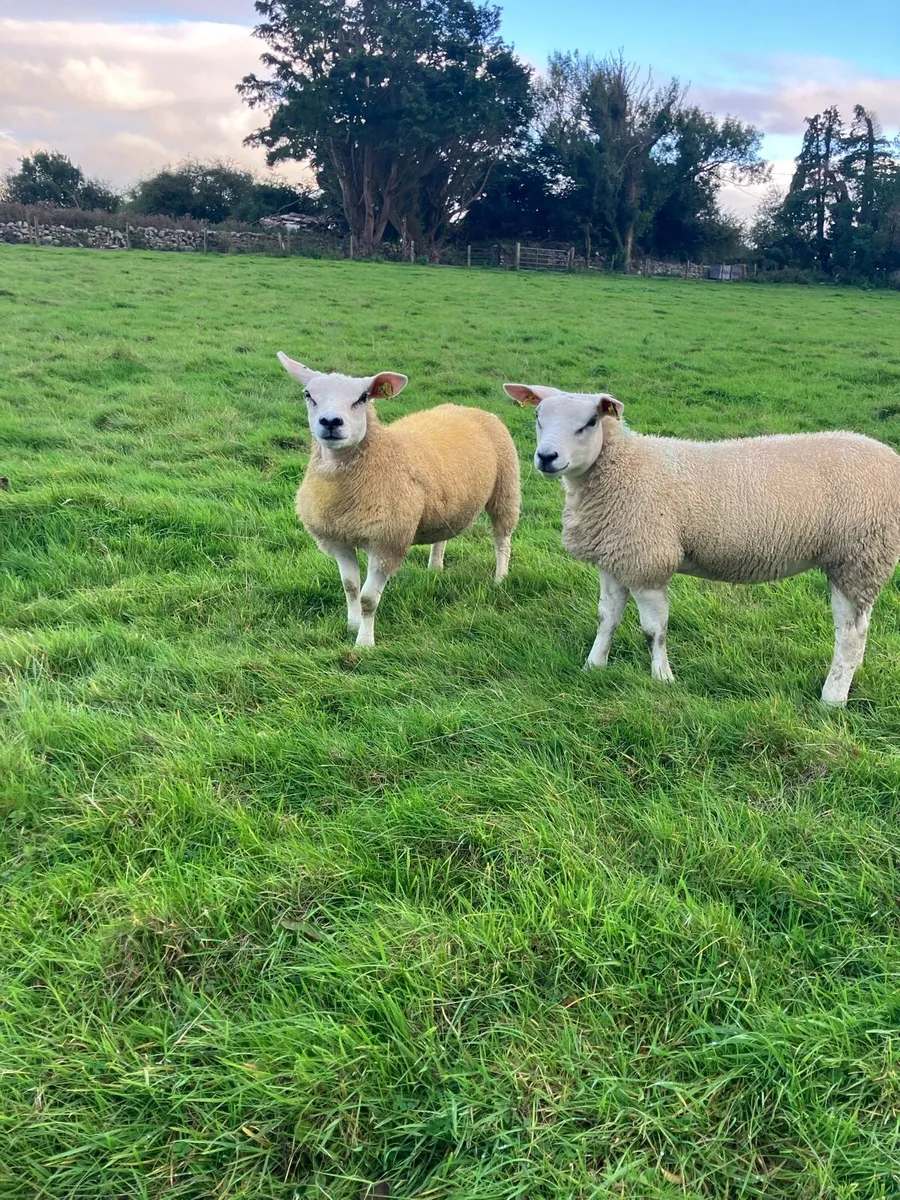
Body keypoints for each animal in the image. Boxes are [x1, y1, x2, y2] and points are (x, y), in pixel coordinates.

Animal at [279, 353, 520, 647]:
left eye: (363, 398)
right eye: (308, 395)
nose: (331, 422)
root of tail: (470, 408)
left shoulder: (387, 543)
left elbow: (368, 599)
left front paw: (364, 643)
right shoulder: (338, 540)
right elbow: (350, 587)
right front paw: (351, 625)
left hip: (506, 488)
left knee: (502, 539)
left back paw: (500, 578)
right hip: (445, 501)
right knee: (443, 536)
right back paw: (435, 568)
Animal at [504, 382, 900, 706]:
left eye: (589, 422)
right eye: (538, 417)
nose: (546, 457)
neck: (622, 468)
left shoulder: (649, 561)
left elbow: (654, 630)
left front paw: (662, 679)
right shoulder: (615, 557)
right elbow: (607, 618)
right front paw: (593, 666)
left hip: (860, 557)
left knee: (851, 634)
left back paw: (832, 699)